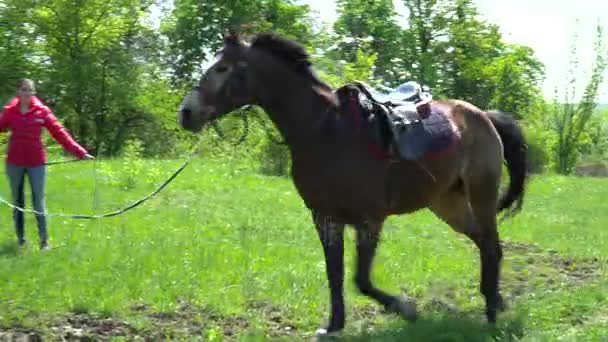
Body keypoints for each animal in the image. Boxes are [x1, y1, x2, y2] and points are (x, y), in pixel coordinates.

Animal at [176, 32, 528, 336]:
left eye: (222, 68)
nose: (186, 113)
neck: (325, 131)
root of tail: (483, 116)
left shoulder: (369, 220)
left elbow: (361, 279)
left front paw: (405, 309)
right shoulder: (325, 218)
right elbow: (335, 274)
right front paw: (334, 325)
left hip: (481, 195)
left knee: (492, 246)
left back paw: (491, 313)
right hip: (447, 203)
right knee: (482, 242)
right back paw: (494, 300)